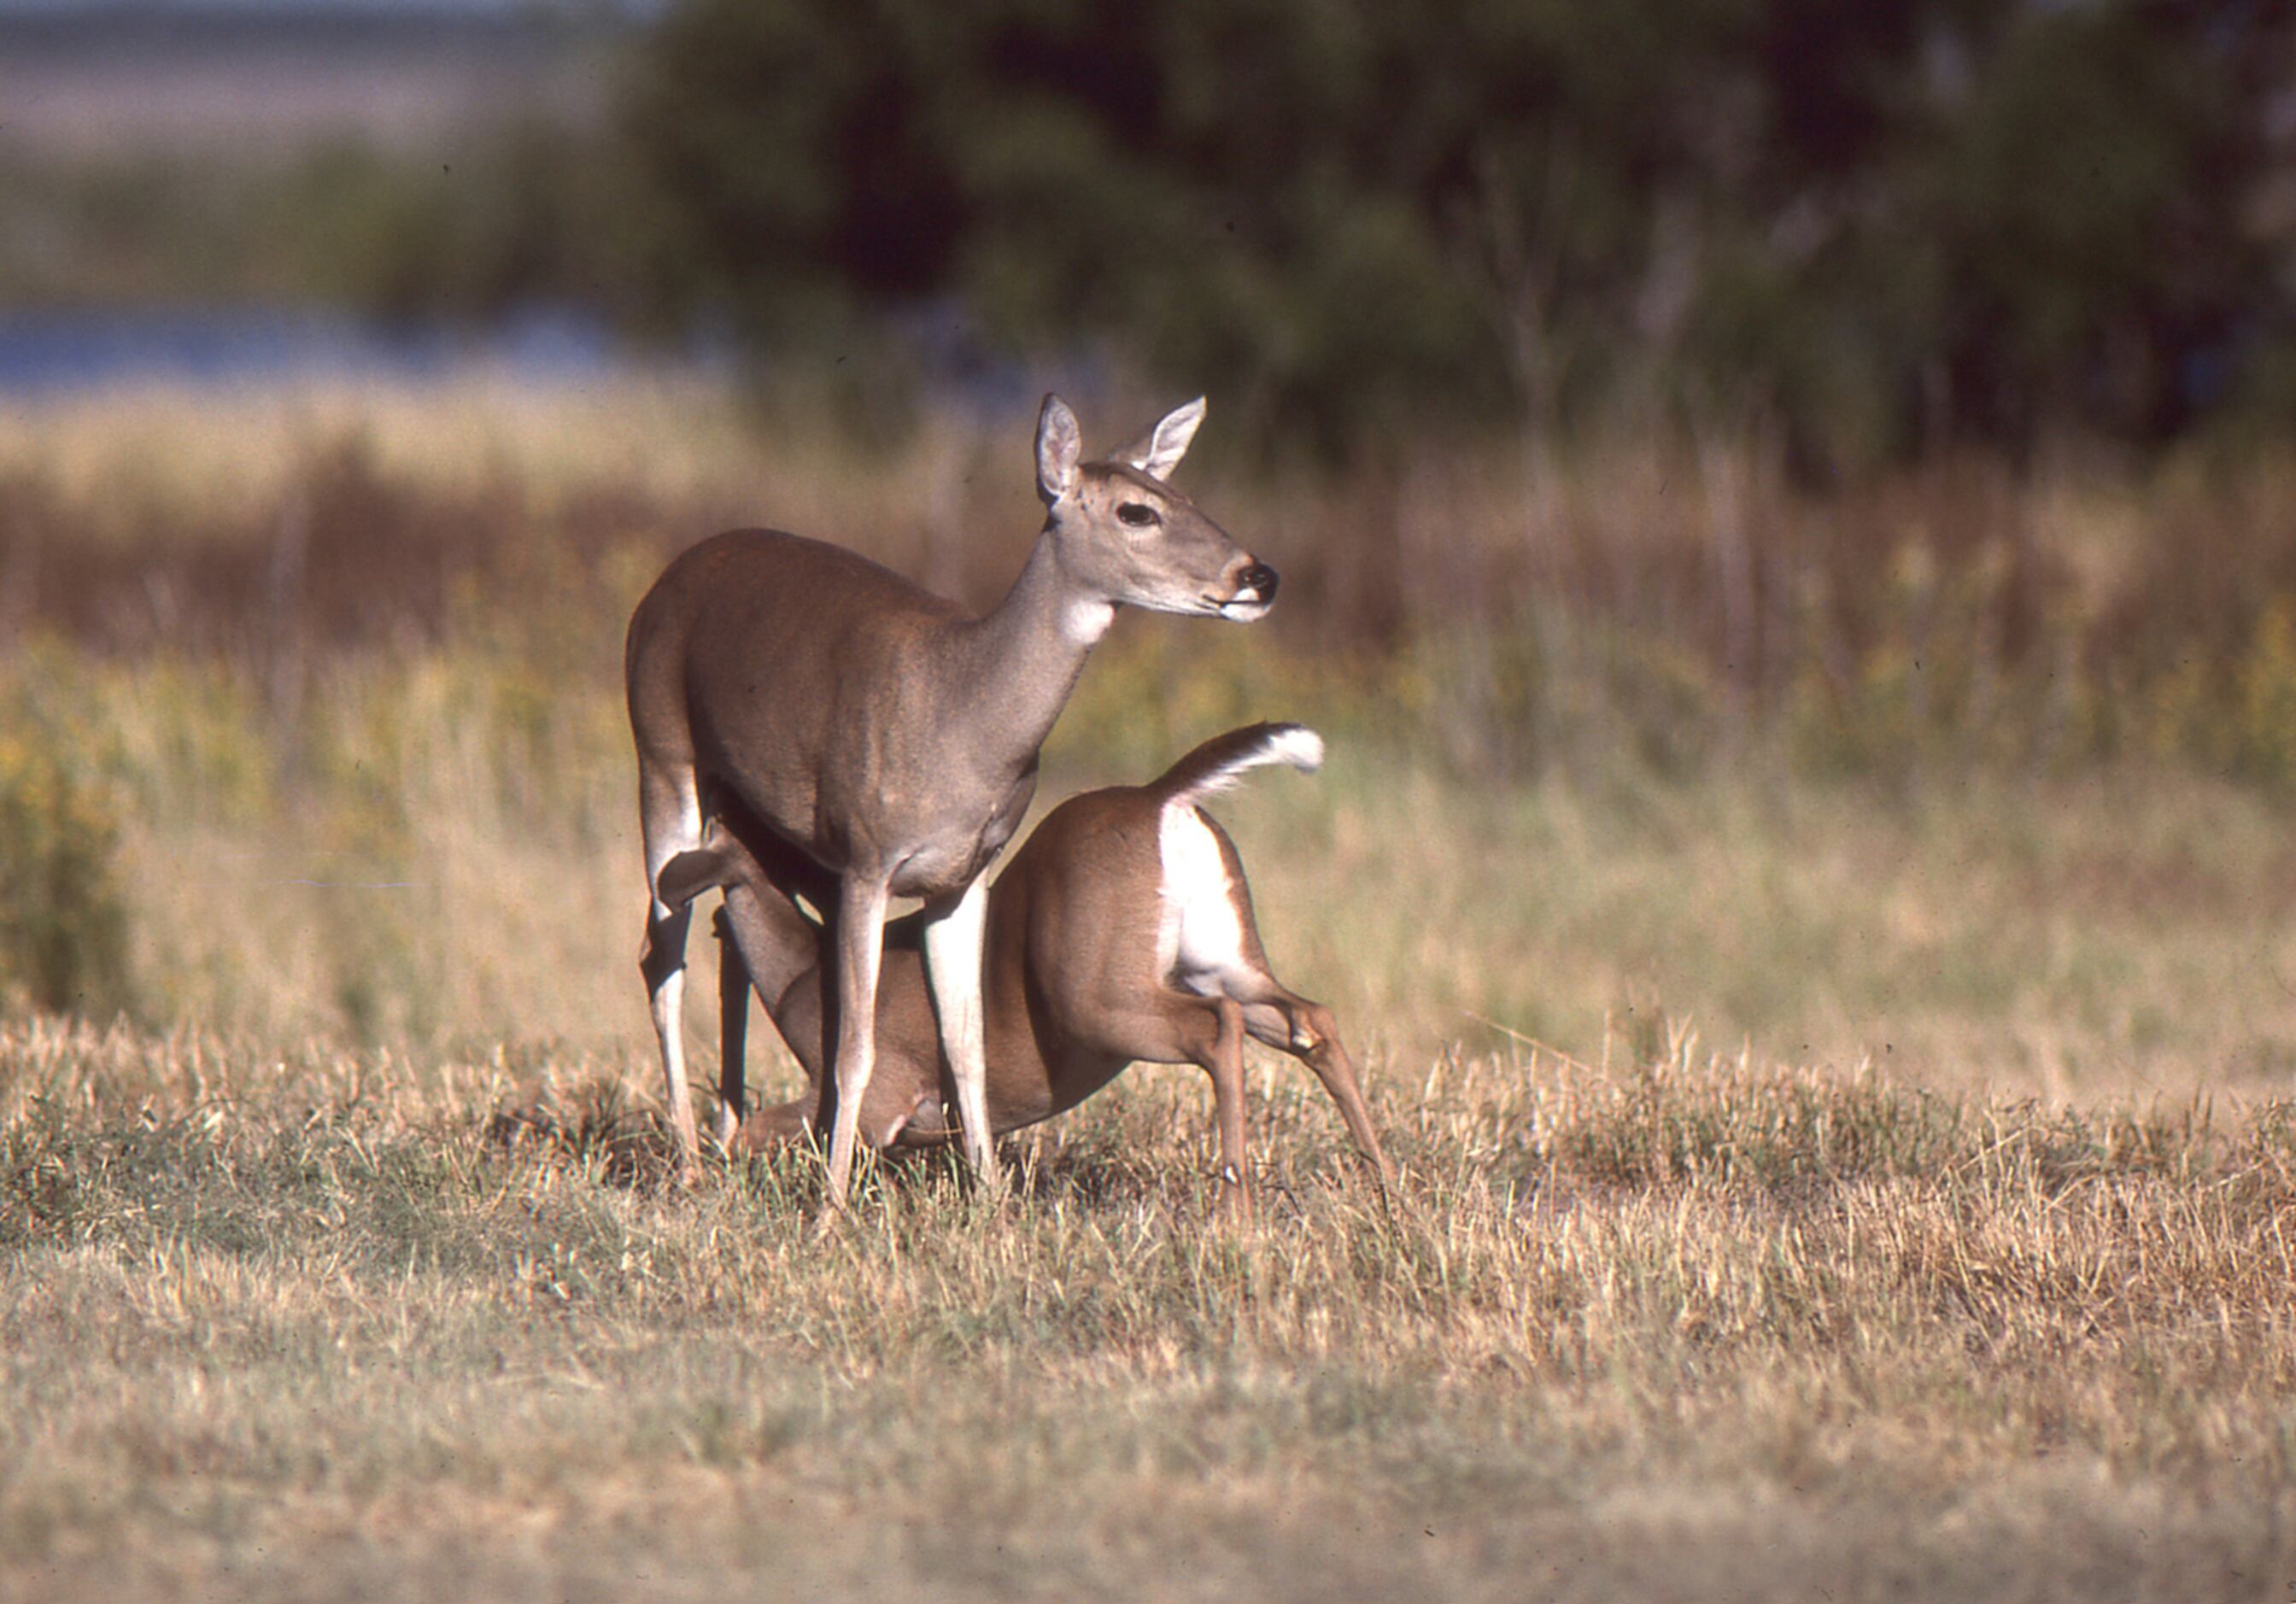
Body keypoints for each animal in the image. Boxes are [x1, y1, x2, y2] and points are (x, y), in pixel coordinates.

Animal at [624, 395, 1276, 1202]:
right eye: (1136, 511)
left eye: (1182, 493)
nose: (1257, 575)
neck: (963, 714)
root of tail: (662, 584)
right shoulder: (867, 858)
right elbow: (856, 1048)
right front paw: (834, 1202)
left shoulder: (962, 876)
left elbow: (965, 1043)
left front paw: (991, 1199)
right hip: (662, 758)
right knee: (661, 957)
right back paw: (687, 1158)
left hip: (745, 809)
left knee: (724, 940)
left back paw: (718, 1138)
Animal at [656, 720, 1386, 1211]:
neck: (801, 979)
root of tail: (1162, 798)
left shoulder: (878, 1098)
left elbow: (753, 1132)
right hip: (1221, 953)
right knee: (1311, 1018)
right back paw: (1382, 1181)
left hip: (1099, 996)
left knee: (1217, 1028)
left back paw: (1235, 1210)